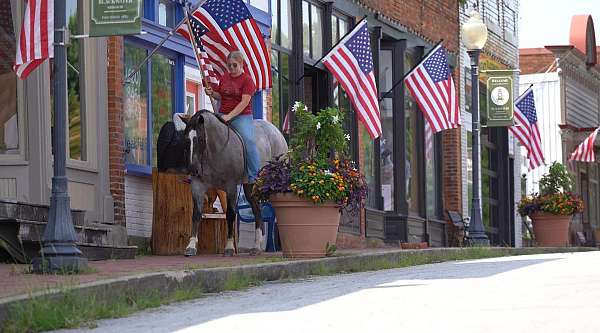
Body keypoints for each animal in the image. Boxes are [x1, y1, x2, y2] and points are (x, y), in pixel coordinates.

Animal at [179, 110, 288, 255]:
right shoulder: (198, 185)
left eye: (201, 139)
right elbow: (196, 214)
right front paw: (191, 246)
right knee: (257, 210)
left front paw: (229, 247)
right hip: (249, 186)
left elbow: (230, 214)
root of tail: (276, 131)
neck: (216, 151)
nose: (192, 169)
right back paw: (256, 246)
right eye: (186, 140)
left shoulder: (230, 187)